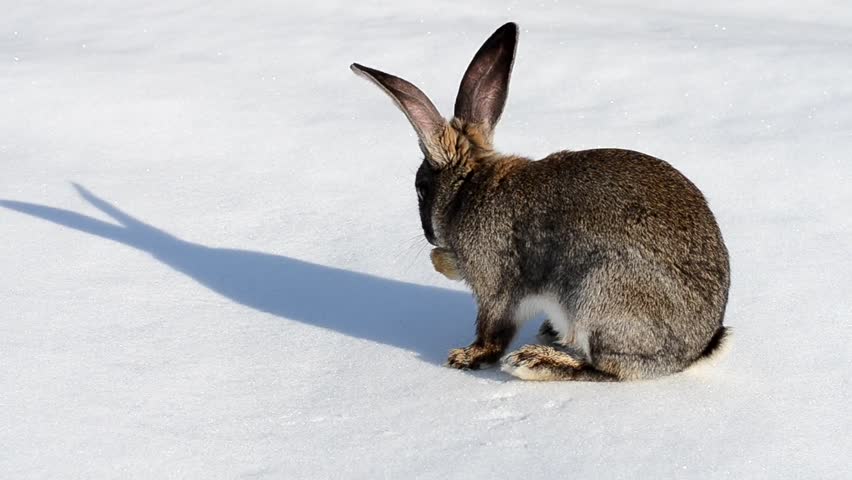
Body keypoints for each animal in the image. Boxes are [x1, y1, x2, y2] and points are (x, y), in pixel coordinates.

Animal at [351, 22, 730, 381]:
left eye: (420, 188)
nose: (431, 238)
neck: (471, 187)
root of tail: (696, 348)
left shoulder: (493, 285)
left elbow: (492, 331)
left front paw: (466, 357)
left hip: (597, 294)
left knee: (605, 368)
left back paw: (534, 361)